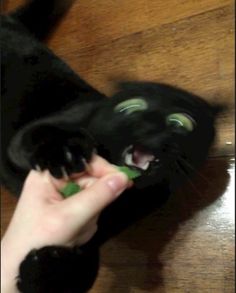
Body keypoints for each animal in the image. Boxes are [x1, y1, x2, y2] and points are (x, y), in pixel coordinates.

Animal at [0, 1, 222, 290]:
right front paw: (64, 154)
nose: (150, 125)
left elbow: (87, 270)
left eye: (182, 123)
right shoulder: (29, 137)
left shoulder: (103, 226)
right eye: (130, 108)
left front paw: (40, 272)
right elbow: (39, 136)